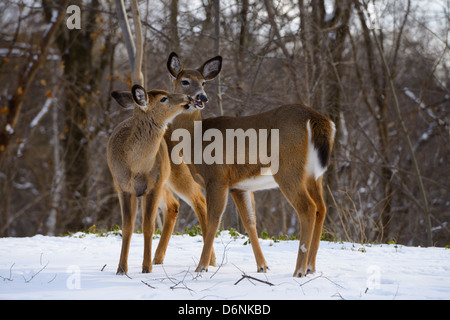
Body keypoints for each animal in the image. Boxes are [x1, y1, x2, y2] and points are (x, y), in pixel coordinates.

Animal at [164, 52, 334, 278]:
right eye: (185, 81)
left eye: (203, 82)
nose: (202, 97)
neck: (196, 139)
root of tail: (315, 118)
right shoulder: (239, 185)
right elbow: (249, 221)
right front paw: (262, 266)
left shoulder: (217, 177)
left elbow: (214, 219)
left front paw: (201, 267)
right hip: (314, 175)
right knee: (321, 208)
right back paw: (310, 267)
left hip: (288, 169)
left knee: (308, 208)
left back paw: (298, 270)